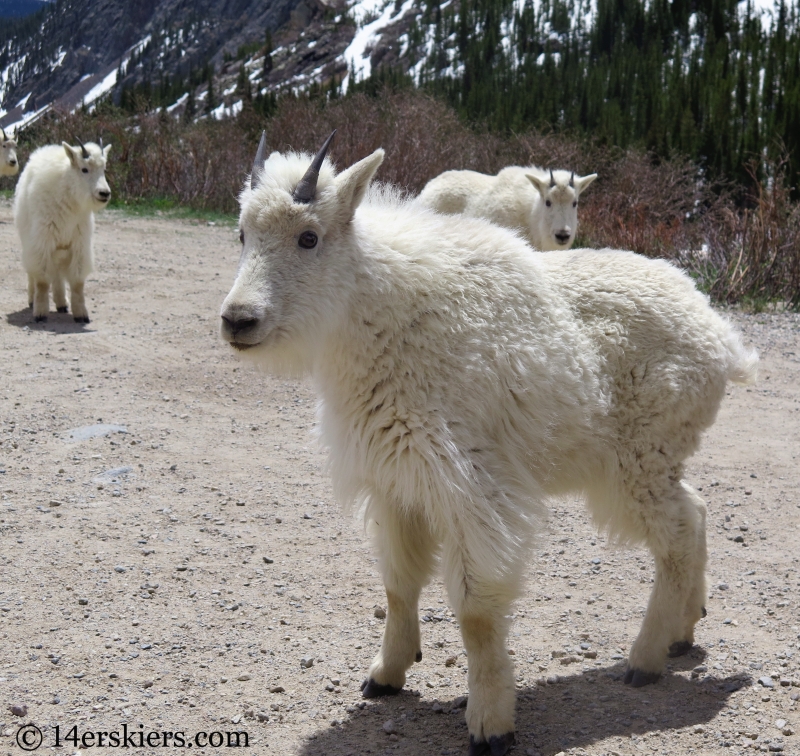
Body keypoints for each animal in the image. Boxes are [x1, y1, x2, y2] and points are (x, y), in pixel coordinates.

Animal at [14, 139, 111, 322]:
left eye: (104, 169)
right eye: (84, 169)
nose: (104, 193)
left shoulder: (79, 243)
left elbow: (77, 282)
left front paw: (81, 314)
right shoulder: (42, 241)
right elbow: (42, 280)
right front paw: (40, 313)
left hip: (60, 247)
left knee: (57, 273)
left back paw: (62, 304)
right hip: (29, 239)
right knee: (32, 272)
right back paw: (32, 300)